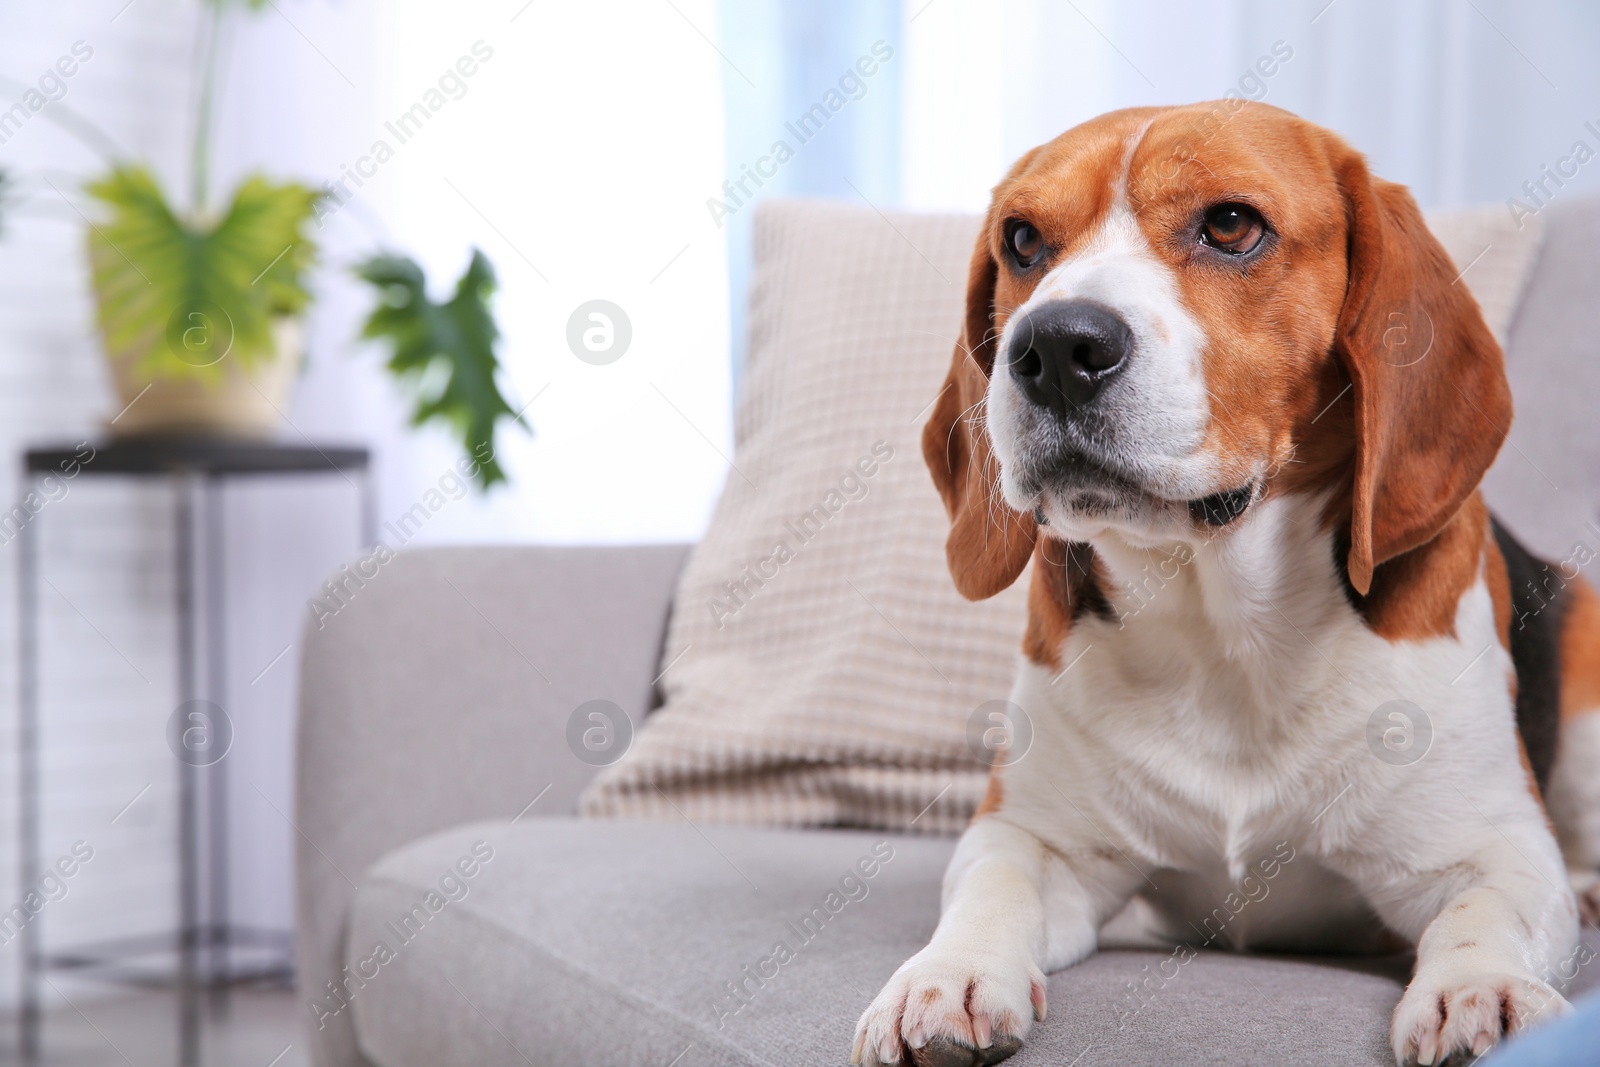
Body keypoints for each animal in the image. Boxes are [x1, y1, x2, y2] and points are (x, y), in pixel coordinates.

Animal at [851, 102, 1600, 1067]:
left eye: (1232, 225)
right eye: (1021, 241)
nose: (1053, 345)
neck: (1225, 629)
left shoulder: (1493, 846)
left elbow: (1484, 909)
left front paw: (1482, 990)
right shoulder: (1032, 836)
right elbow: (991, 889)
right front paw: (947, 975)